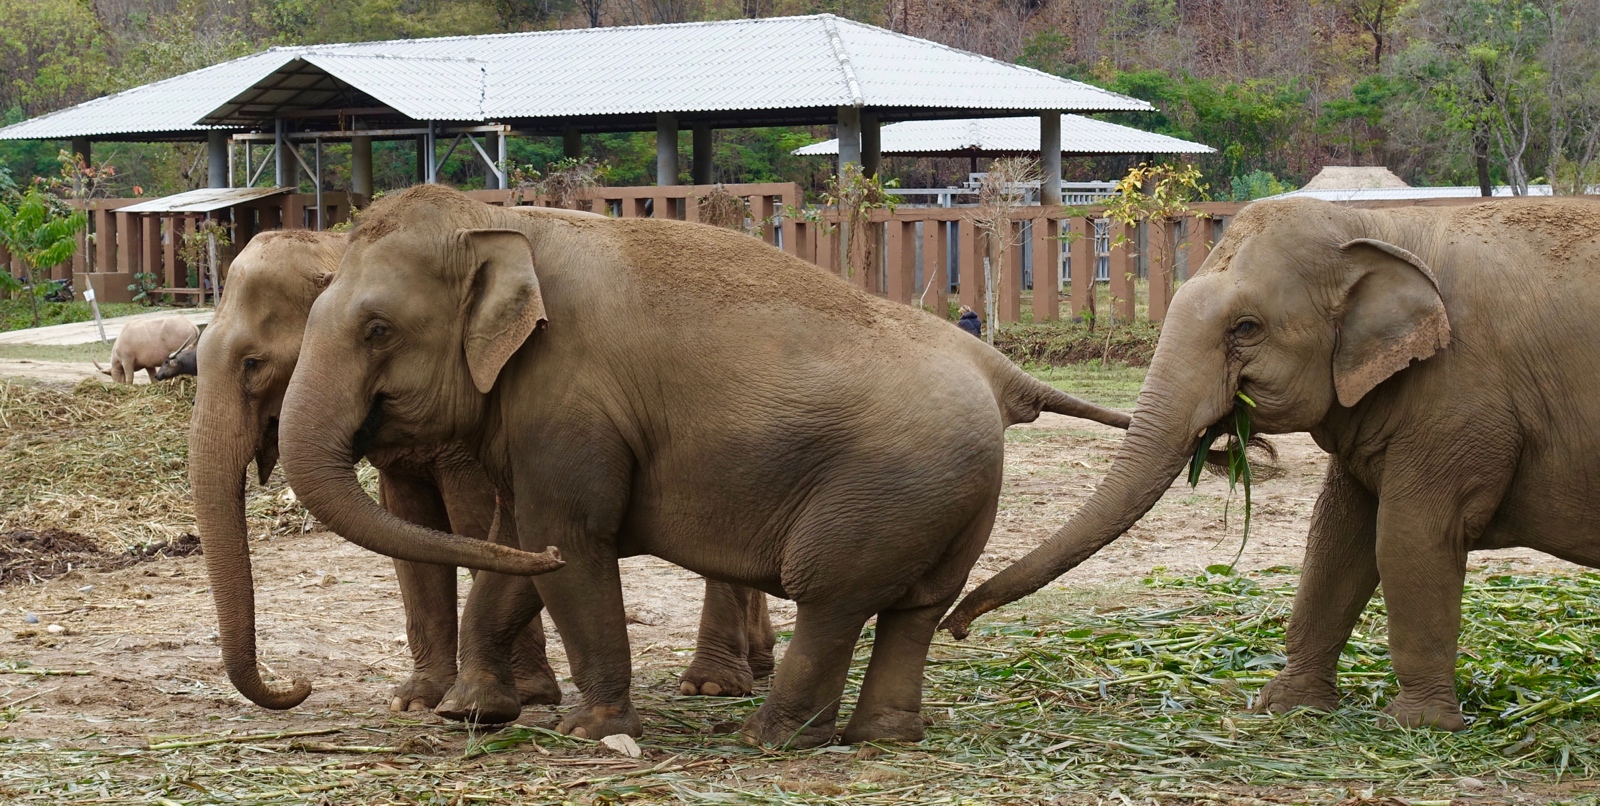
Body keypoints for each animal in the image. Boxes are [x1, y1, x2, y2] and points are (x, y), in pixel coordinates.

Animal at [190, 226, 775, 716]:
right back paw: (758, 664)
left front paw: (528, 694)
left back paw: (711, 684)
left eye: (252, 363)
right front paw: (415, 701)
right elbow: (411, 530)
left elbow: (474, 523)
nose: (299, 684)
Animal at [274, 185, 1134, 747]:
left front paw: (592, 733)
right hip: (953, 497)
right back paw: (882, 737)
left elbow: (573, 542)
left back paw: (770, 738)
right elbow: (521, 540)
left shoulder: (570, 397)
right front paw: (472, 715)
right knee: (915, 610)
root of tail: (996, 370)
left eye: (378, 329)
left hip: (887, 489)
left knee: (832, 596)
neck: (506, 224)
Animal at [943, 197, 1600, 731]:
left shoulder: (1459, 400)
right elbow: (1338, 537)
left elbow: (1410, 538)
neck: (1378, 225)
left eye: (1246, 327)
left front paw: (1415, 727)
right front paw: (1283, 707)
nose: (957, 626)